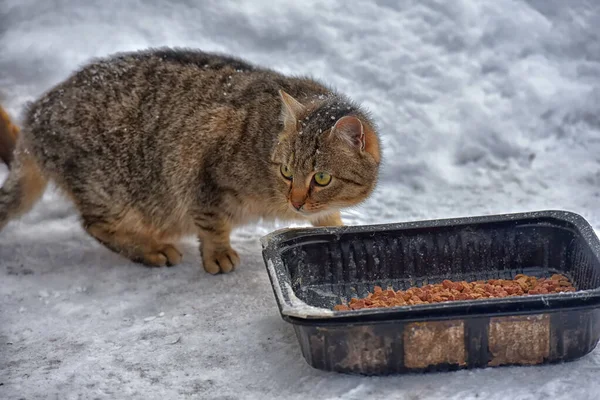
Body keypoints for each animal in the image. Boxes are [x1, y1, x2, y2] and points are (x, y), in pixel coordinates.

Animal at [0, 45, 382, 274]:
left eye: (322, 178)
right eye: (287, 171)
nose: (297, 202)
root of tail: (36, 113)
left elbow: (329, 217)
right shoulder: (204, 167)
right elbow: (212, 222)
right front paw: (217, 253)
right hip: (108, 189)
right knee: (96, 225)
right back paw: (151, 249)